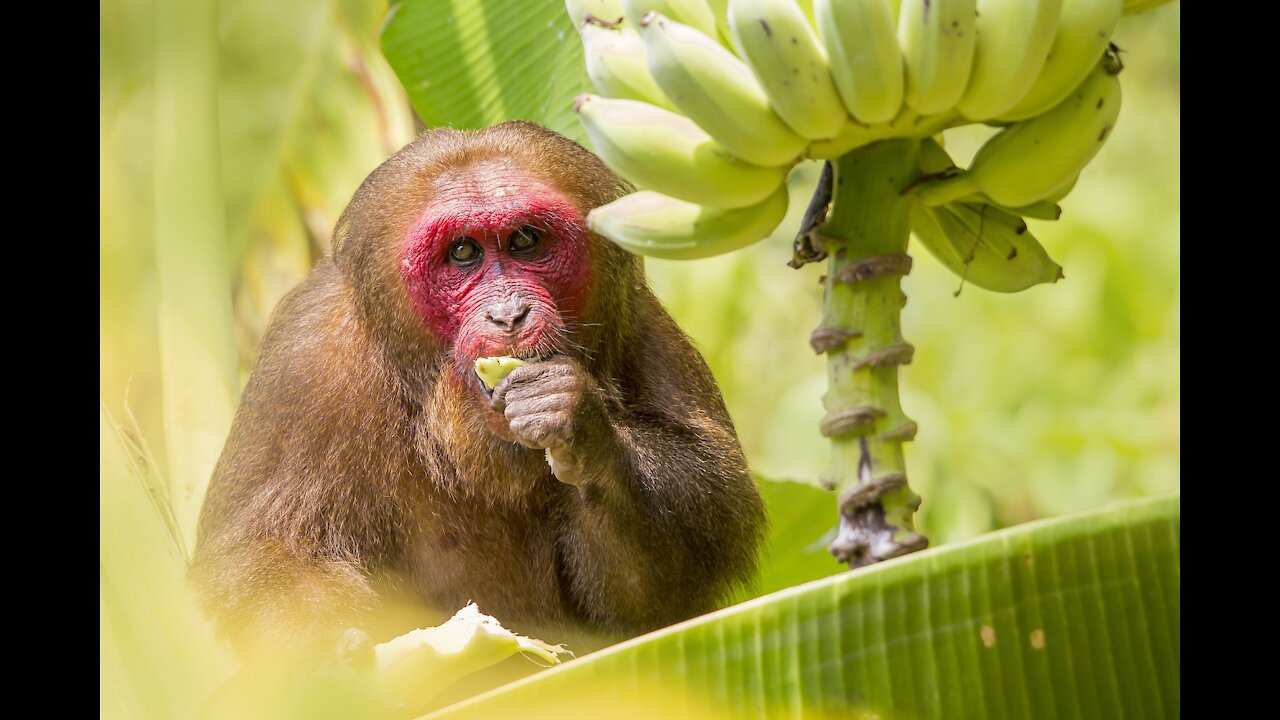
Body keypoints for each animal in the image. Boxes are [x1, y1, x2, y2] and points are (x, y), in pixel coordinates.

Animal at [190, 119, 768, 666]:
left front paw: (578, 422)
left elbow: (671, 577)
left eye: (525, 241)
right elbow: (266, 551)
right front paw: (326, 659)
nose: (509, 314)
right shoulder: (306, 359)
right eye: (463, 252)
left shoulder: (640, 323)